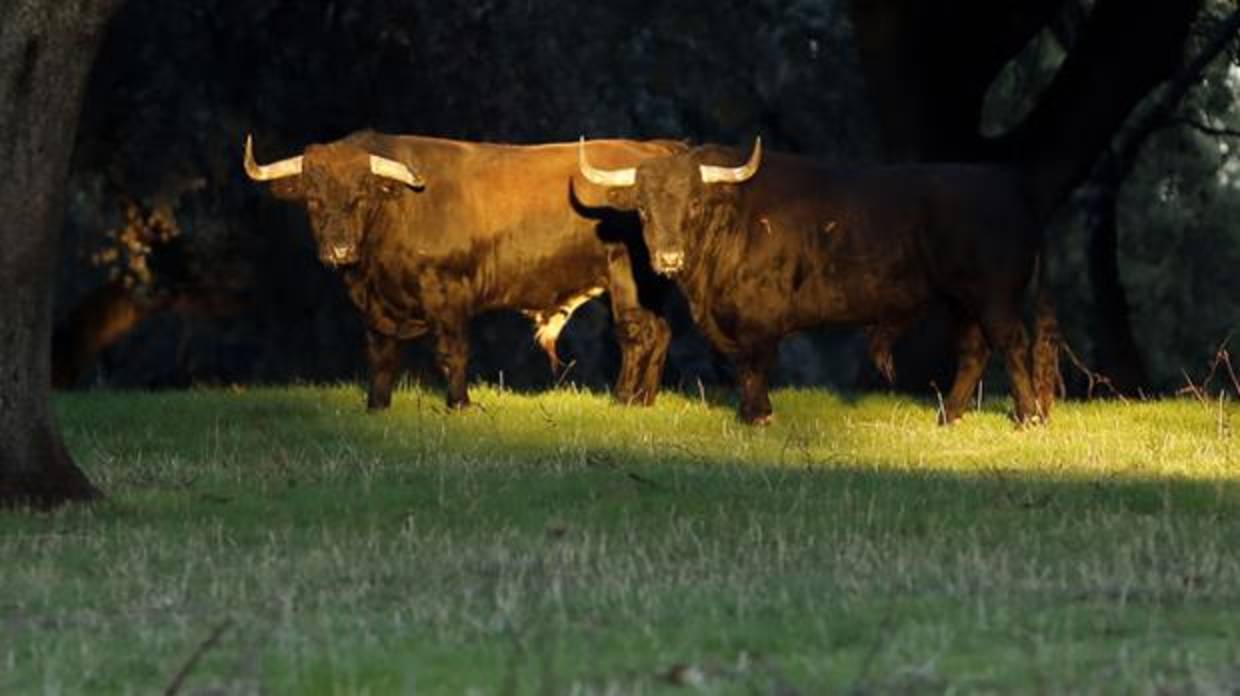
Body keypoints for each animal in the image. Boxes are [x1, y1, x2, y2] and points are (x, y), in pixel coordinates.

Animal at [245, 131, 674, 406]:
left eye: (362, 195)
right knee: (660, 332)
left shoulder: (449, 293)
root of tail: (649, 150)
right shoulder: (376, 309)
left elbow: (453, 351)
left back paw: (624, 399)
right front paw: (377, 405)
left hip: (625, 278)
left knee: (638, 333)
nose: (339, 249)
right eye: (313, 200)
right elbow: (381, 356)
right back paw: (645, 401)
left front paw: (459, 403)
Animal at [577, 138, 1056, 424]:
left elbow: (755, 365)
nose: (669, 258)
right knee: (973, 351)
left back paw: (1028, 415)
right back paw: (949, 416)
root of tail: (1008, 185)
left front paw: (758, 414)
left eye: (694, 202)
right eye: (642, 209)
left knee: (1012, 344)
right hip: (963, 302)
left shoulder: (760, 320)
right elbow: (744, 366)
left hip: (994, 299)